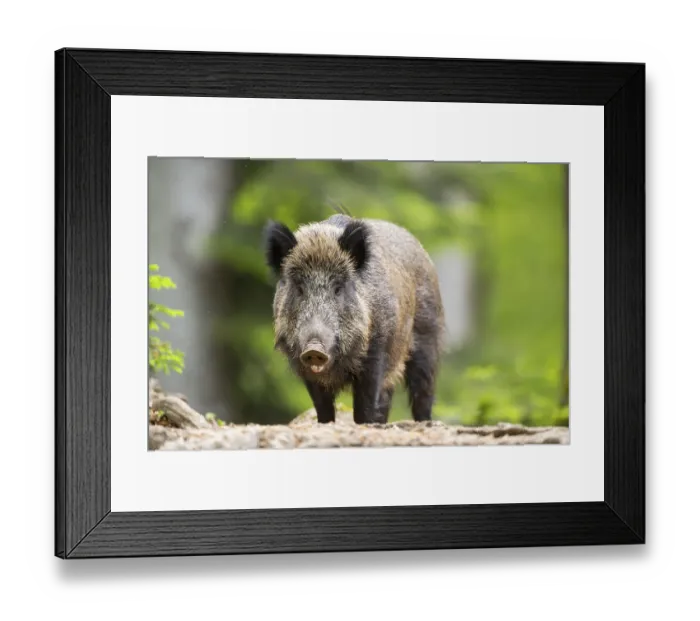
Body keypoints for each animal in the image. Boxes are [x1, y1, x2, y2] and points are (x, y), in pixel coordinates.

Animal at [263, 214, 445, 425]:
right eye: (299, 289)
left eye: (338, 289)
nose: (314, 348)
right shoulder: (305, 367)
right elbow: (322, 408)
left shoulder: (376, 352)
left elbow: (364, 405)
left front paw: (364, 424)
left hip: (427, 337)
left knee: (422, 391)